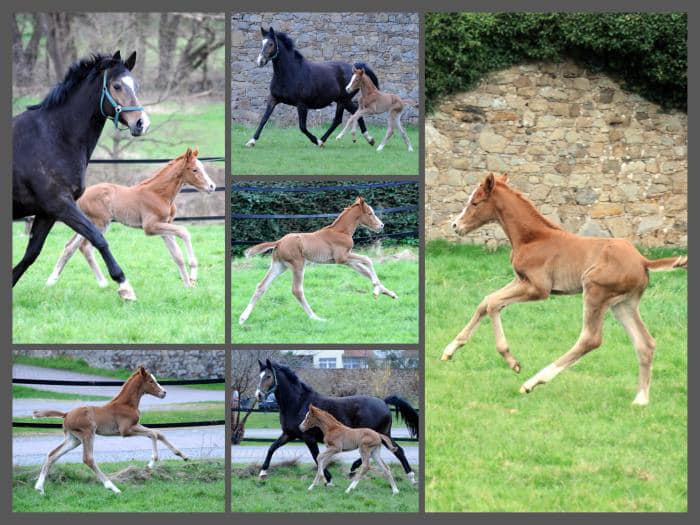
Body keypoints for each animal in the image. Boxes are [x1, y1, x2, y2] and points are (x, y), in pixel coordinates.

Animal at [33, 366, 187, 494]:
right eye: (150, 381)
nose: (164, 393)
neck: (126, 404)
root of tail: (66, 414)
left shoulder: (135, 425)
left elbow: (158, 433)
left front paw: (182, 455)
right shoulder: (126, 430)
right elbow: (153, 434)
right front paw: (151, 464)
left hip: (74, 439)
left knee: (53, 454)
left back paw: (40, 488)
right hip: (88, 433)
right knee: (88, 459)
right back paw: (113, 487)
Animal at [47, 148, 215, 294]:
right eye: (195, 170)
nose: (212, 186)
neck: (159, 194)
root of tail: (81, 196)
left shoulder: (164, 227)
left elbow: (177, 256)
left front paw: (188, 285)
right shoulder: (150, 227)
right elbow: (184, 232)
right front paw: (193, 274)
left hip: (91, 223)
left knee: (72, 247)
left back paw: (56, 280)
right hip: (99, 223)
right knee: (84, 246)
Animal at [238, 196, 396, 324]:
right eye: (370, 213)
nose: (381, 225)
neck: (341, 231)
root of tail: (279, 242)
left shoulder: (347, 261)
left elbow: (365, 272)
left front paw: (388, 293)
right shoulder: (342, 257)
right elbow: (368, 260)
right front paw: (376, 289)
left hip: (279, 266)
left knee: (261, 286)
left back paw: (243, 318)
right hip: (298, 265)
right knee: (297, 290)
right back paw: (315, 317)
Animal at [440, 173, 688, 406]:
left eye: (475, 202)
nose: (455, 226)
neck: (532, 238)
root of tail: (643, 261)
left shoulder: (538, 288)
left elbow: (492, 304)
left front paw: (512, 361)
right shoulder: (520, 280)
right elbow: (486, 301)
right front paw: (449, 351)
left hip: (595, 291)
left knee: (590, 339)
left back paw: (532, 382)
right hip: (623, 304)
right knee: (645, 343)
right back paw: (641, 399)